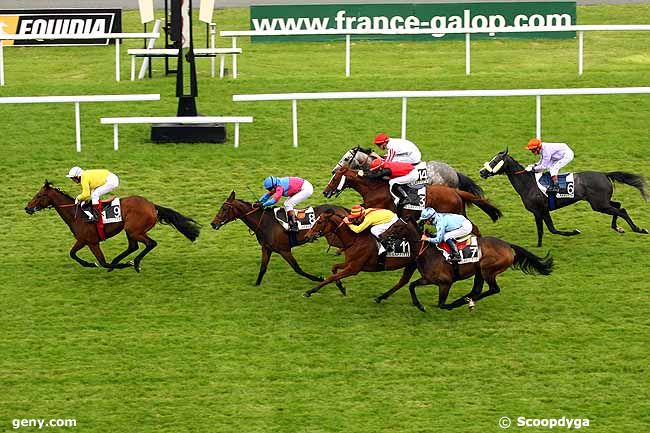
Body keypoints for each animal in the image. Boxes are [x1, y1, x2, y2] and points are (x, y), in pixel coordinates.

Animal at [24, 181, 200, 272]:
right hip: (131, 230)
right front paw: (93, 264)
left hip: (134, 230)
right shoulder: (83, 240)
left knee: (150, 243)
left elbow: (101, 262)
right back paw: (124, 261)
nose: (27, 208)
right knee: (133, 246)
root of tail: (152, 206)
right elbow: (72, 254)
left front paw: (120, 265)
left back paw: (135, 263)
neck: (77, 214)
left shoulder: (91, 241)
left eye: (39, 195)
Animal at [210, 189, 346, 290]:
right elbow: (263, 268)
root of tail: (342, 209)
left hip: (334, 238)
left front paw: (319, 278)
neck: (265, 222)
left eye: (224, 209)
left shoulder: (284, 250)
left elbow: (297, 269)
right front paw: (256, 284)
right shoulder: (266, 248)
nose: (213, 223)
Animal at [374, 219, 552, 310]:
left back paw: (462, 302)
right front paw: (418, 305)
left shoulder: (445, 283)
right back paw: (466, 299)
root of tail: (508, 246)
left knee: (493, 289)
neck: (428, 252)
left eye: (396, 226)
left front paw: (442, 305)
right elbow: (411, 285)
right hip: (480, 271)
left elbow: (441, 304)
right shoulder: (428, 279)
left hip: (488, 270)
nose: (381, 235)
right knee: (477, 289)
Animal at [476, 150, 644, 246]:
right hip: (602, 202)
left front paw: (574, 232)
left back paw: (638, 229)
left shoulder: (539, 210)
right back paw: (618, 227)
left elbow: (550, 229)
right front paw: (539, 246)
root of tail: (604, 174)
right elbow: (546, 230)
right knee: (619, 205)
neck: (528, 184)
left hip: (599, 204)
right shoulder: (541, 211)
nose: (482, 172)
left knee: (621, 211)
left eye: (495, 161)